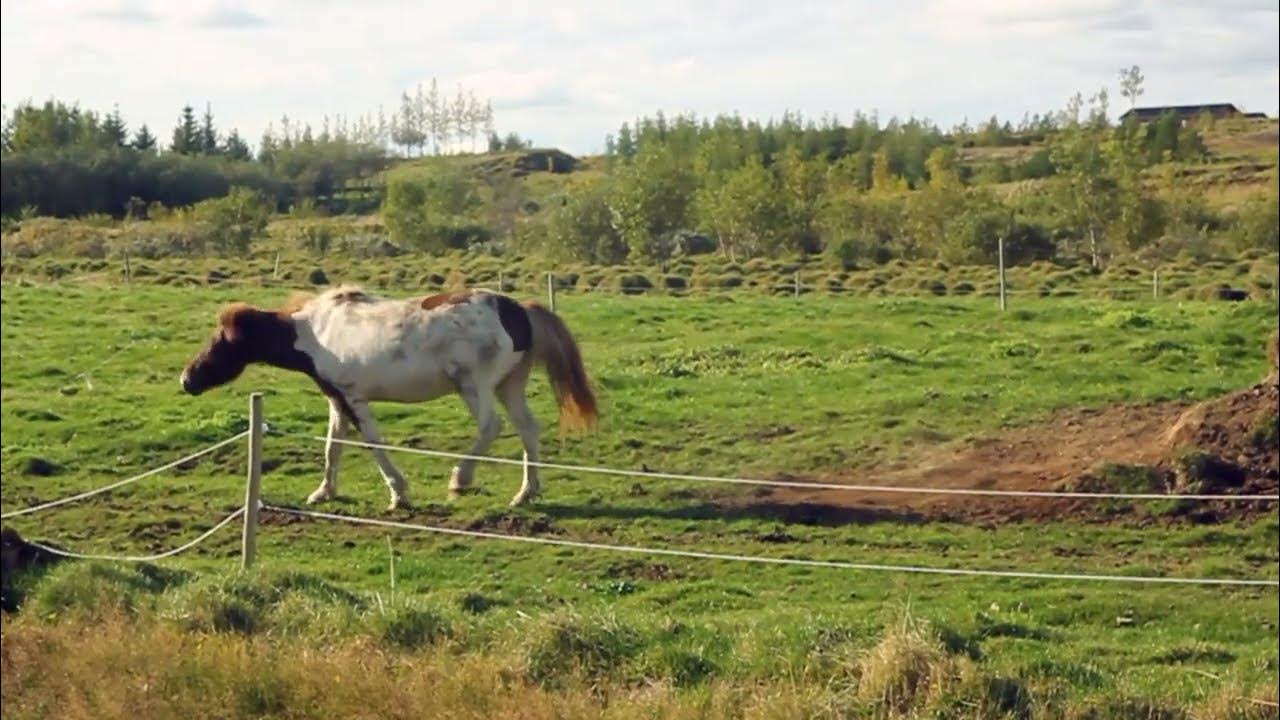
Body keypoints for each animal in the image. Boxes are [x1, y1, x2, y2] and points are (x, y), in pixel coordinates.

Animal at [180, 285, 598, 509]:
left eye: (221, 339)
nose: (187, 379)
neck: (315, 332)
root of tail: (520, 312)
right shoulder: (336, 401)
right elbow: (333, 447)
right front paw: (323, 492)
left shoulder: (354, 399)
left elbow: (373, 444)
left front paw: (399, 493)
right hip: (508, 386)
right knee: (528, 429)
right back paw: (526, 493)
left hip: (474, 386)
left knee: (490, 428)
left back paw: (460, 479)